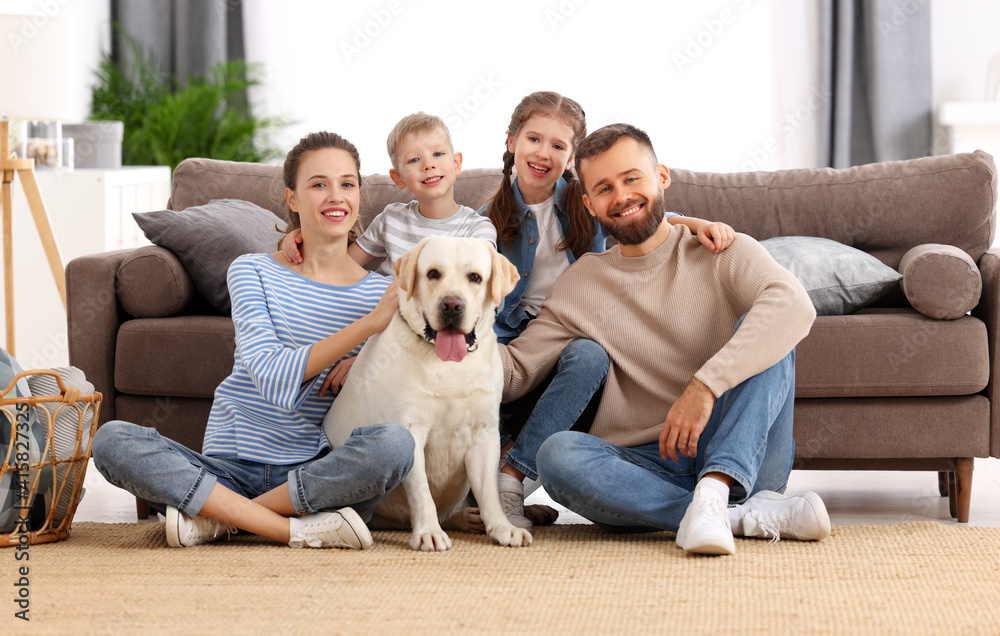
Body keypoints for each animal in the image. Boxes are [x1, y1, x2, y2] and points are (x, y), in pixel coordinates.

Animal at [326, 235, 532, 552]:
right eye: (433, 273)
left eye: (475, 277)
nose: (452, 305)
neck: (447, 364)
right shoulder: (410, 430)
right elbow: (422, 492)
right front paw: (428, 532)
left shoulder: (484, 433)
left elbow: (489, 492)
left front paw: (502, 527)